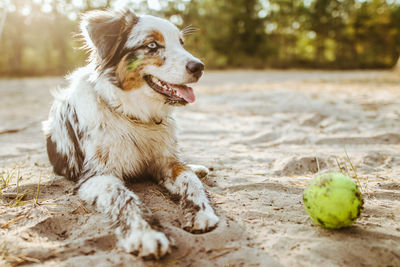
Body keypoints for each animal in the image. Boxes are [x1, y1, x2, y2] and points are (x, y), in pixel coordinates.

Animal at [42, 9, 219, 260]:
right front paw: (146, 234)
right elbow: (125, 199)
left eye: (181, 43)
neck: (135, 115)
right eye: (152, 45)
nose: (199, 67)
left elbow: (189, 179)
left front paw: (200, 212)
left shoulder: (165, 160)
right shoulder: (97, 175)